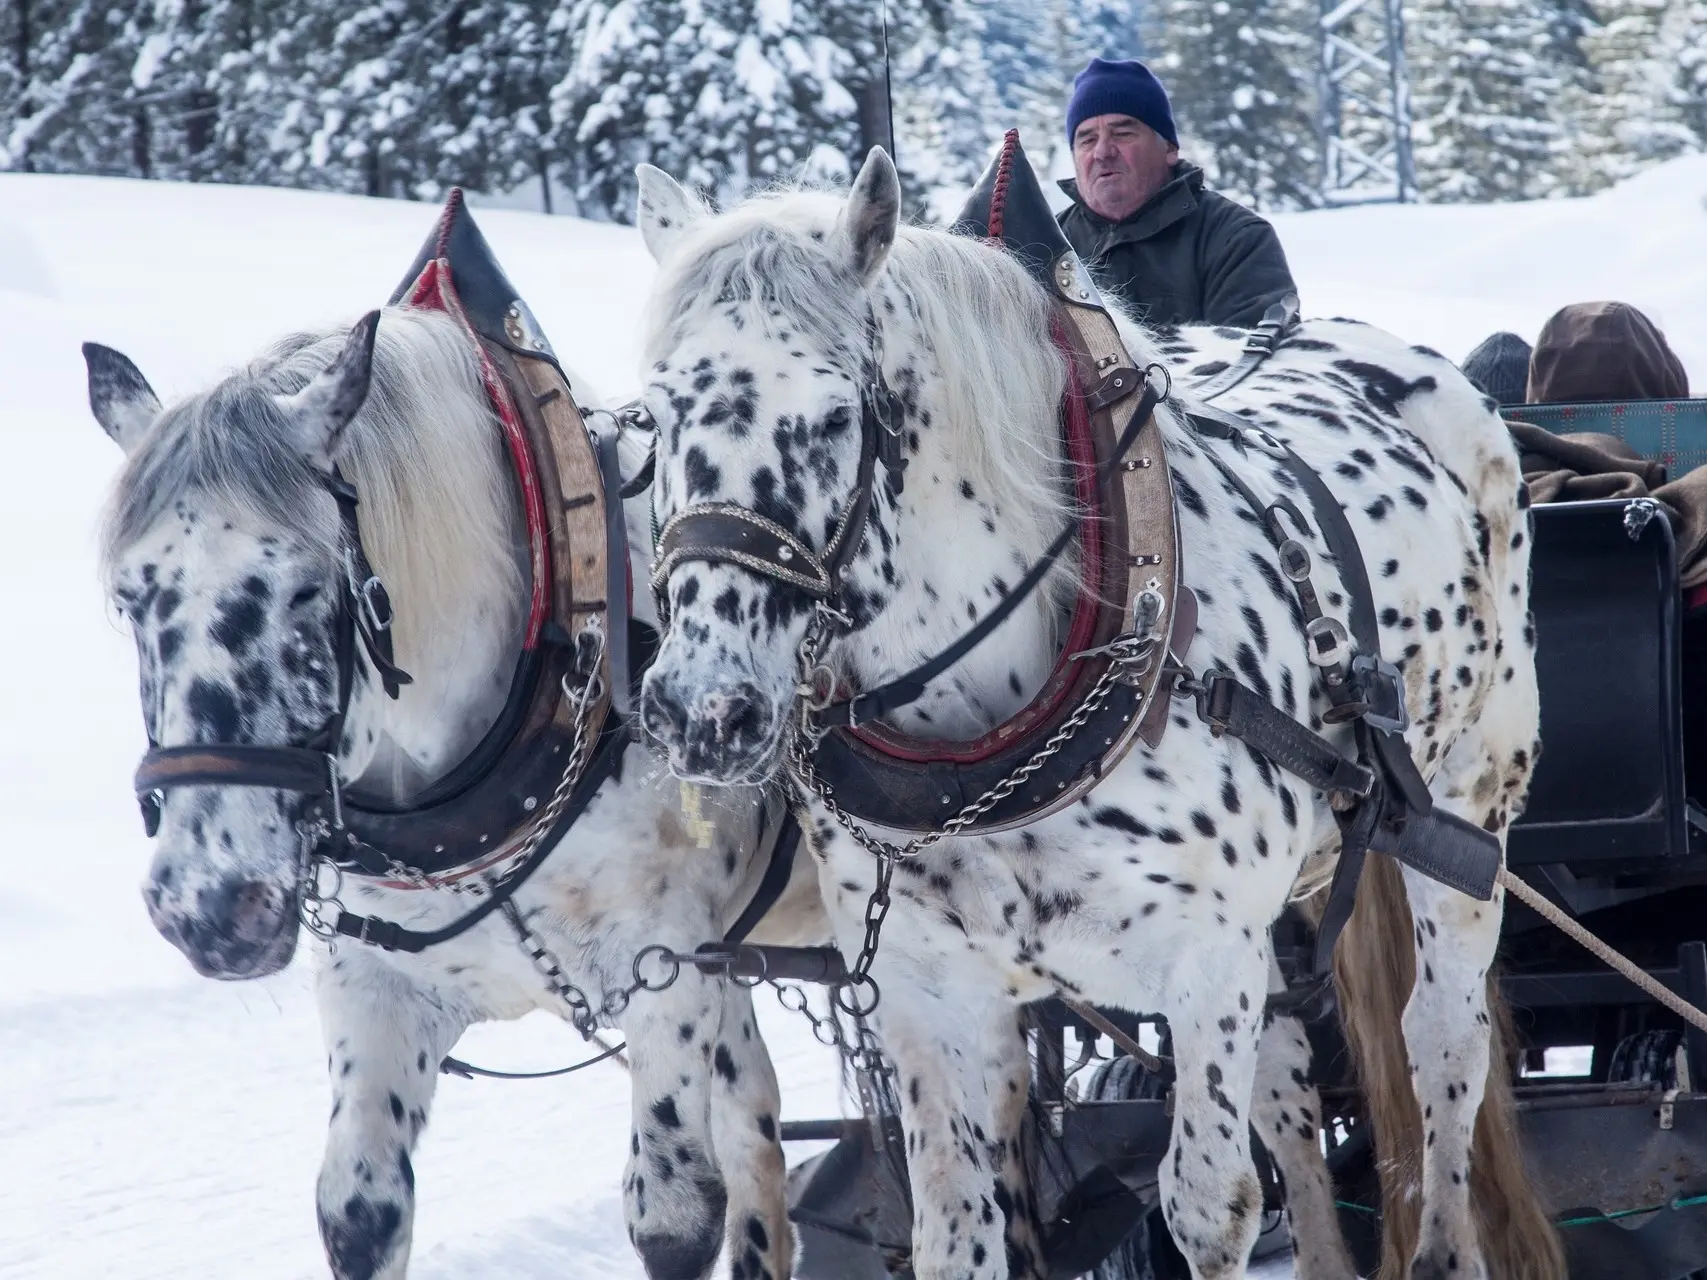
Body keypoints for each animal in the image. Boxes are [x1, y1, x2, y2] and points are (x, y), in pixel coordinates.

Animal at [76, 310, 802, 1280]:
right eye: (130, 601)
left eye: (303, 587)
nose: (208, 907)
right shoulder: (375, 990)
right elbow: (358, 1213)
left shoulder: (671, 976)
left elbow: (677, 1216)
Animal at [635, 152, 1563, 1280]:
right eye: (650, 419)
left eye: (828, 419)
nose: (701, 709)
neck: (980, 750)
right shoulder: (932, 991)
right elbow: (957, 1231)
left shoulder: (1205, 957)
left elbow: (1211, 1207)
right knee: (1288, 1080)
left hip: (1467, 808)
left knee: (1441, 1038)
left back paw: (1442, 1241)